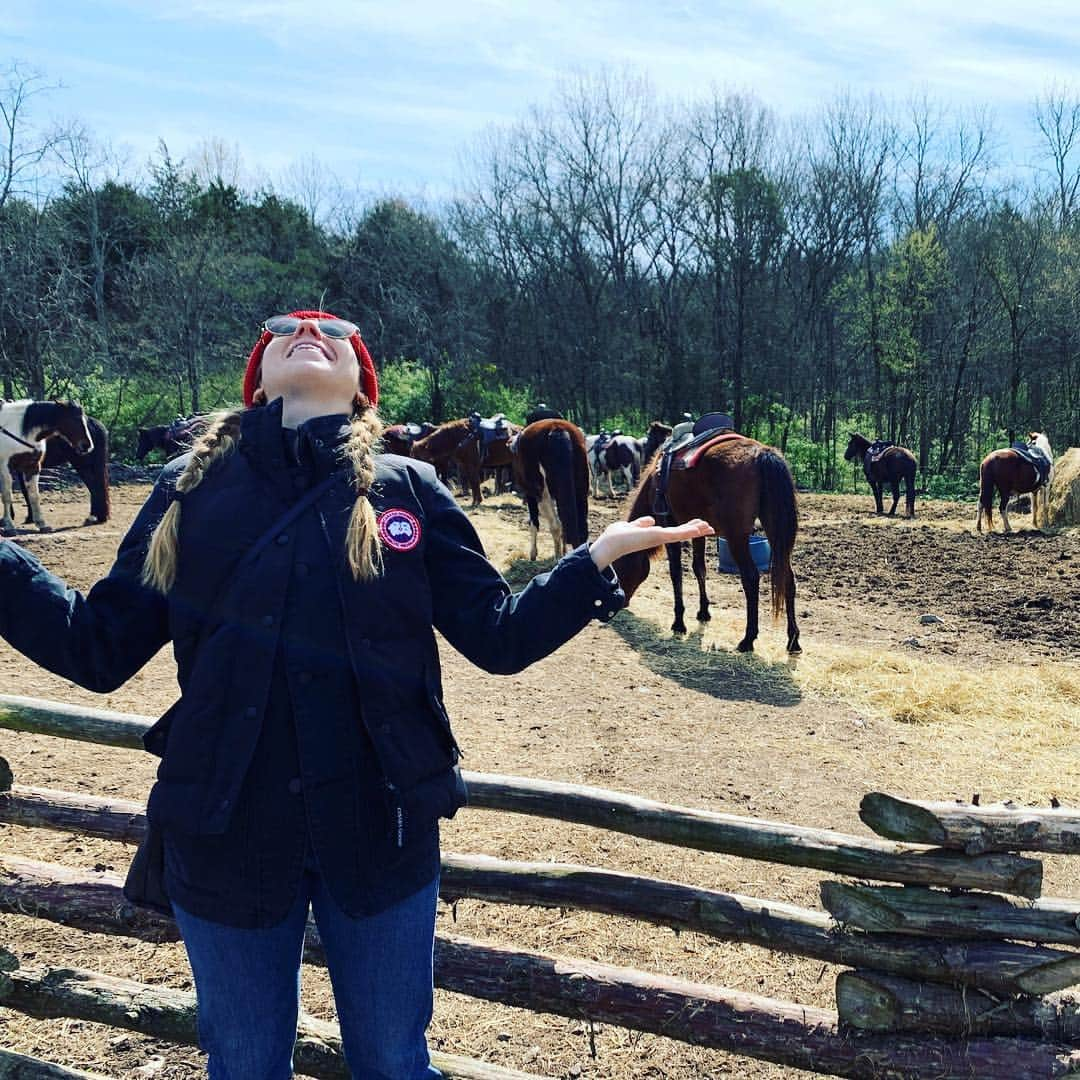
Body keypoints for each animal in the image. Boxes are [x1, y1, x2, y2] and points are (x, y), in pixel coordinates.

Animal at [0, 399, 95, 533]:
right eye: (74, 419)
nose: (87, 446)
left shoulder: (32, 467)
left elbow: (34, 496)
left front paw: (41, 524)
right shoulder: (6, 467)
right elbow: (7, 496)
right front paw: (9, 525)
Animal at [507, 419, 587, 561]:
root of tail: (556, 428)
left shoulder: (530, 495)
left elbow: (534, 522)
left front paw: (533, 554)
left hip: (541, 492)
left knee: (555, 524)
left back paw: (557, 557)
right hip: (581, 488)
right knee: (578, 525)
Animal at [613, 434, 799, 652]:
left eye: (618, 566)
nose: (621, 602)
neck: (654, 482)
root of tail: (762, 454)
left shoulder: (669, 526)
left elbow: (676, 573)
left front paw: (678, 623)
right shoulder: (698, 530)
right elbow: (699, 568)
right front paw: (703, 612)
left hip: (736, 536)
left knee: (751, 578)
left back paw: (748, 640)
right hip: (774, 530)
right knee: (788, 578)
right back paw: (793, 640)